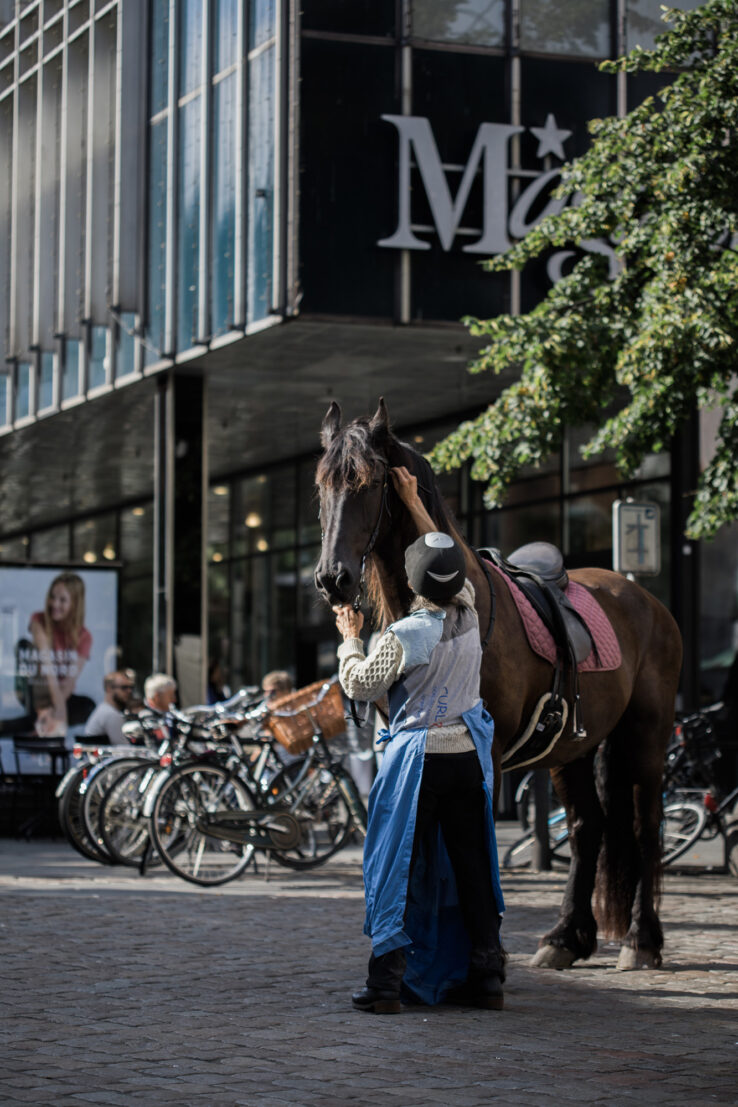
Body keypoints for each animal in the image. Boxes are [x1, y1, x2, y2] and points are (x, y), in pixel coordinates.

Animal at [314, 398, 685, 969]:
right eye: (322, 485)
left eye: (368, 482)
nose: (333, 579)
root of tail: (645, 600)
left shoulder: (482, 750)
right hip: (572, 750)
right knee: (588, 828)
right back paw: (564, 937)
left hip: (646, 737)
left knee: (646, 827)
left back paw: (642, 941)